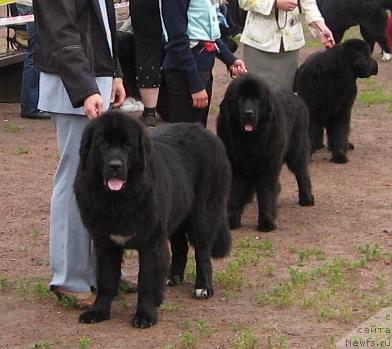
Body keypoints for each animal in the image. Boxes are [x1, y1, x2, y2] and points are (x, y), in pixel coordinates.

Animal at [74, 111, 231, 326]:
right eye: (103, 144)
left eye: (128, 145)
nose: (115, 166)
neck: (116, 201)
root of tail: (205, 131)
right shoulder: (105, 243)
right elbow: (106, 279)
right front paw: (98, 312)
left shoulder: (151, 242)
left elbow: (147, 280)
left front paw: (144, 316)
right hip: (176, 214)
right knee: (181, 247)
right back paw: (171, 278)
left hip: (203, 215)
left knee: (202, 253)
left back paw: (203, 288)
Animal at [217, 75, 316, 232]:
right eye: (239, 98)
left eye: (257, 99)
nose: (249, 113)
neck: (249, 140)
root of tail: (296, 97)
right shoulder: (236, 166)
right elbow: (235, 194)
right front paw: (232, 220)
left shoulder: (268, 166)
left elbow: (266, 195)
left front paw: (266, 223)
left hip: (296, 150)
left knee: (302, 174)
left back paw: (306, 199)